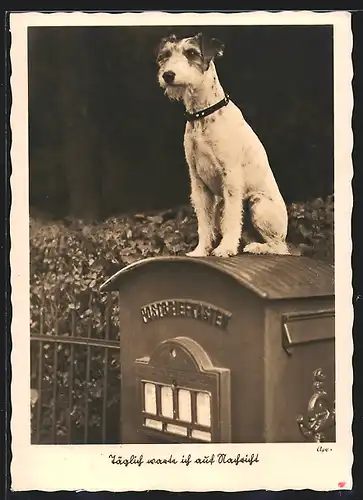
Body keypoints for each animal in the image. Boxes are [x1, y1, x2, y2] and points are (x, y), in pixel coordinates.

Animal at [156, 32, 290, 258]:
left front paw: (225, 249)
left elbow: (232, 218)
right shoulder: (198, 182)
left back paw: (257, 247)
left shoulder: (231, 178)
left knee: (279, 247)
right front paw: (200, 251)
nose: (168, 75)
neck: (203, 115)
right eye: (165, 55)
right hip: (223, 205)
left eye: (191, 53)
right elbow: (204, 223)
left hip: (257, 203)